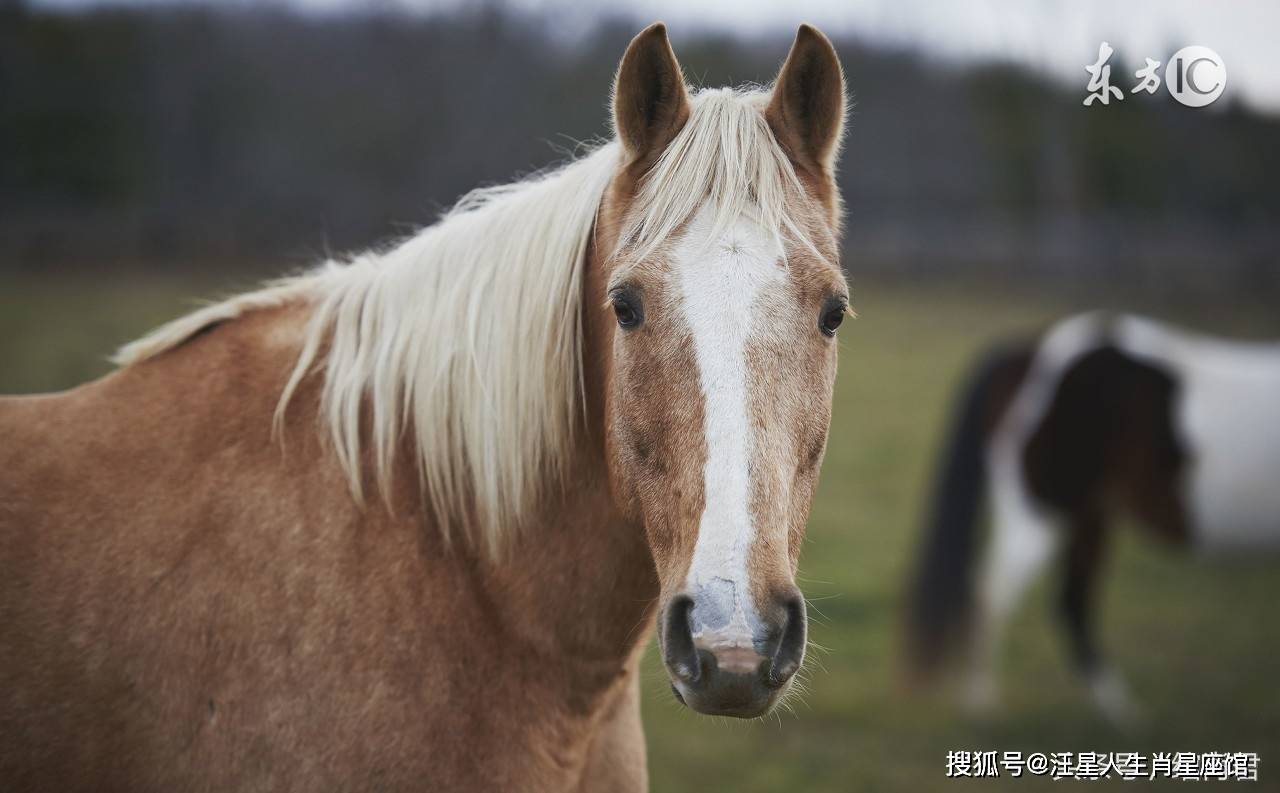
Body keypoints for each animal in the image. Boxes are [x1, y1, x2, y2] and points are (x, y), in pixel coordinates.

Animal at [906, 309, 1280, 726]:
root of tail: (1026, 350)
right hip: (1044, 512)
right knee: (995, 594)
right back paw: (984, 704)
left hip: (1087, 516)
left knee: (1069, 602)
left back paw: (1117, 710)